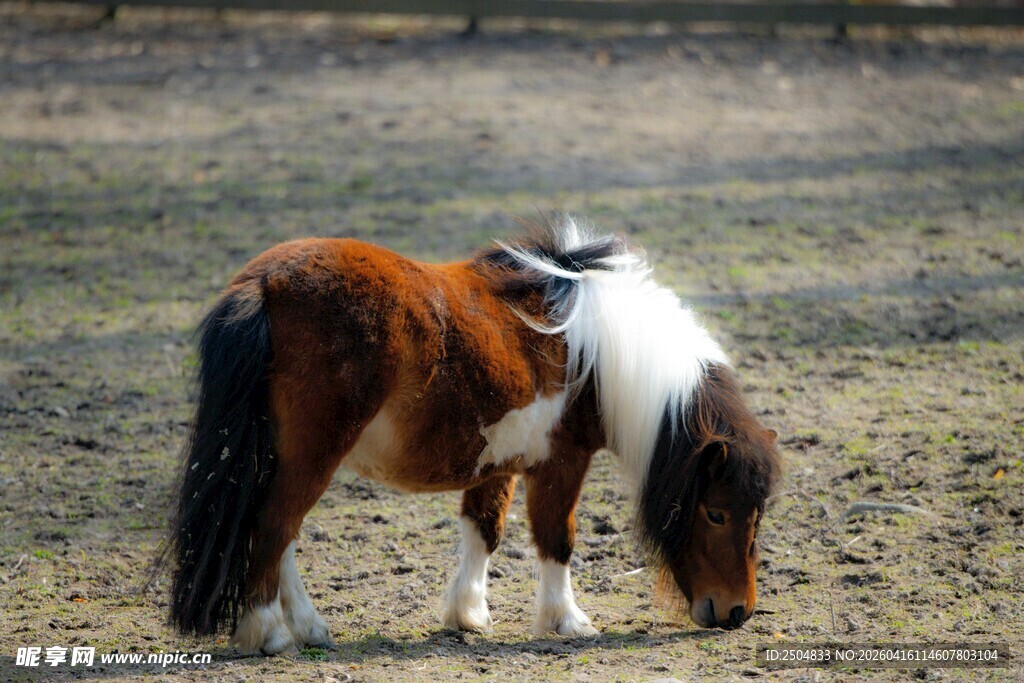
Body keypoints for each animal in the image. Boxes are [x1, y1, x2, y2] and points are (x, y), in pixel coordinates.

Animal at [161, 217, 781, 654]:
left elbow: (484, 530)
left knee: (280, 535)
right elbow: (557, 538)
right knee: (273, 527)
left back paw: (310, 628)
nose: (738, 613)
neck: (596, 350)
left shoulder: (499, 459)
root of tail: (263, 283)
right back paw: (268, 633)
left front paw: (468, 615)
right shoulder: (561, 462)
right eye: (717, 512)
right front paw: (567, 622)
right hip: (314, 452)